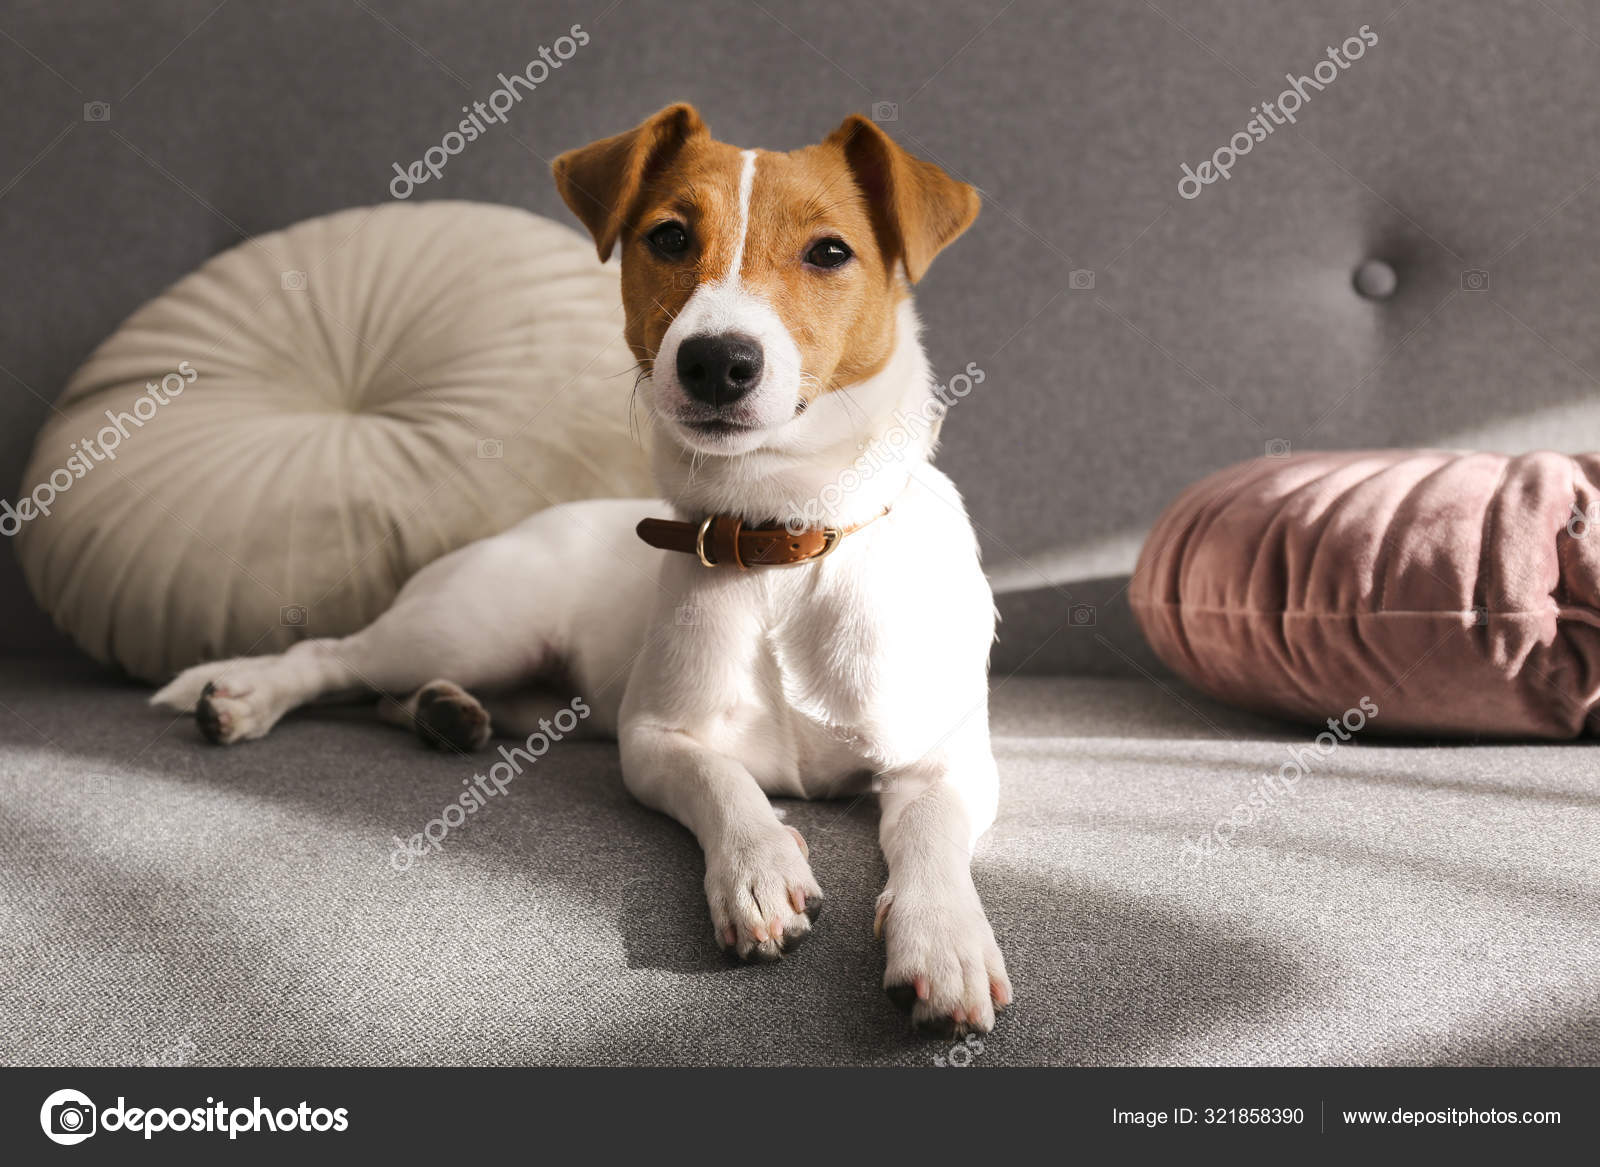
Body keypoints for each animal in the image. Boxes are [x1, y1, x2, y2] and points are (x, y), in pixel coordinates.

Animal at [159, 102, 1011, 1030]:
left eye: (829, 251)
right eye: (670, 236)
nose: (716, 360)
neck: (783, 535)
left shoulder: (946, 760)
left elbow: (928, 835)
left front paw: (943, 939)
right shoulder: (654, 739)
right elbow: (725, 786)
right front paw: (758, 866)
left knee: (395, 693)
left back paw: (443, 713)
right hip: (470, 628)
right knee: (334, 657)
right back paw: (251, 695)